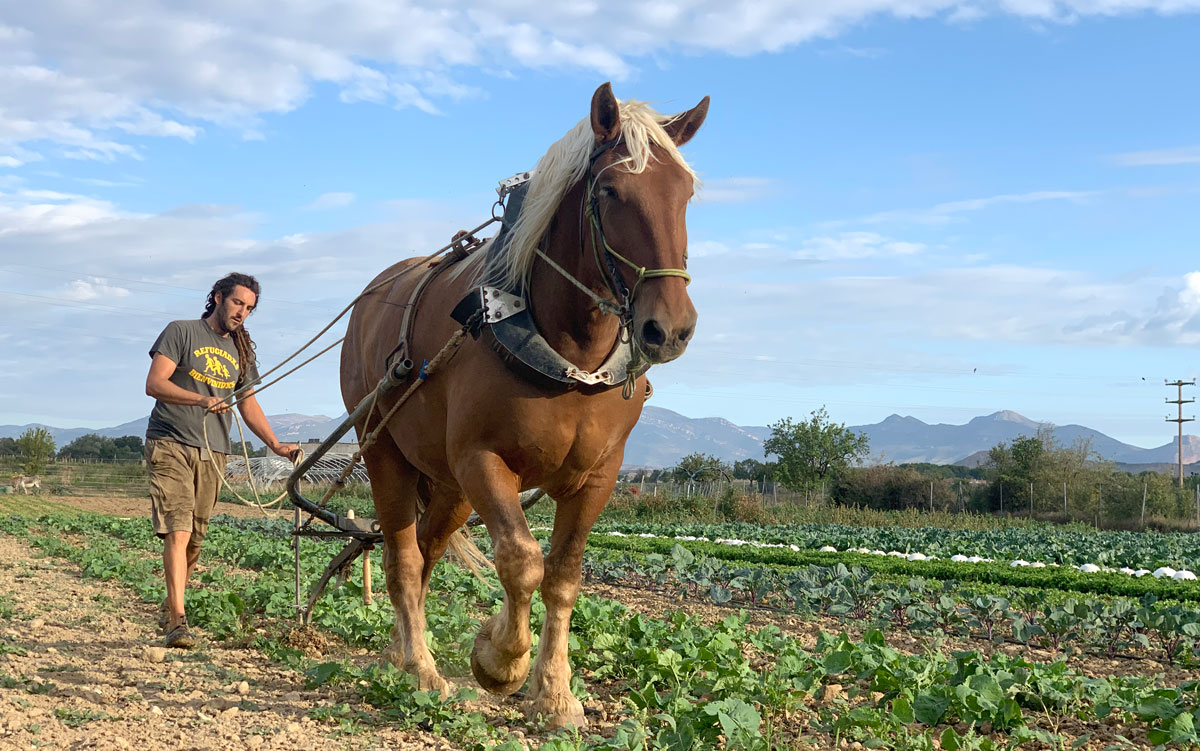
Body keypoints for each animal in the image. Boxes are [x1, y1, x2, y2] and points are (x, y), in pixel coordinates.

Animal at [338, 84, 705, 729]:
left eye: (685, 192)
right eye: (611, 191)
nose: (671, 329)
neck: (568, 358)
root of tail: (371, 296)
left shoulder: (599, 476)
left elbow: (563, 577)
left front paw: (555, 695)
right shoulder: (484, 462)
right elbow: (521, 561)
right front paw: (500, 659)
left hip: (448, 484)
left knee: (426, 552)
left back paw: (400, 653)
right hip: (384, 451)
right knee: (402, 558)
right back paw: (423, 671)